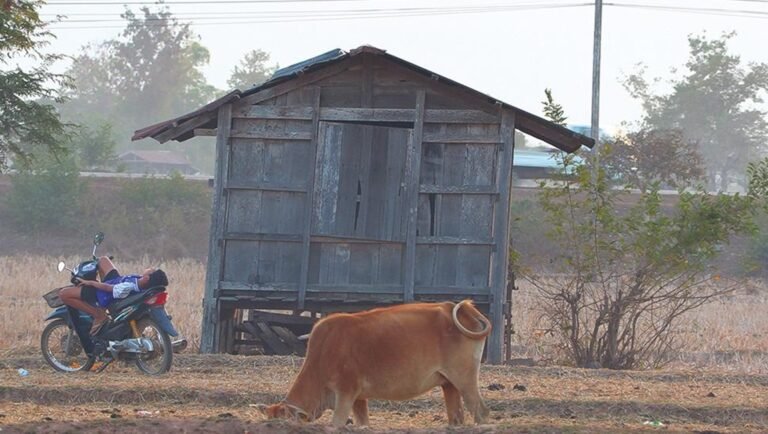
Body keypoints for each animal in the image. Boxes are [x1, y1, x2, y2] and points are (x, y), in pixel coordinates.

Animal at [256, 300, 492, 427]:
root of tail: (456, 307)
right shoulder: (359, 398)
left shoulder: (345, 393)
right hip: (448, 384)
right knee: (457, 416)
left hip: (464, 378)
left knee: (480, 411)